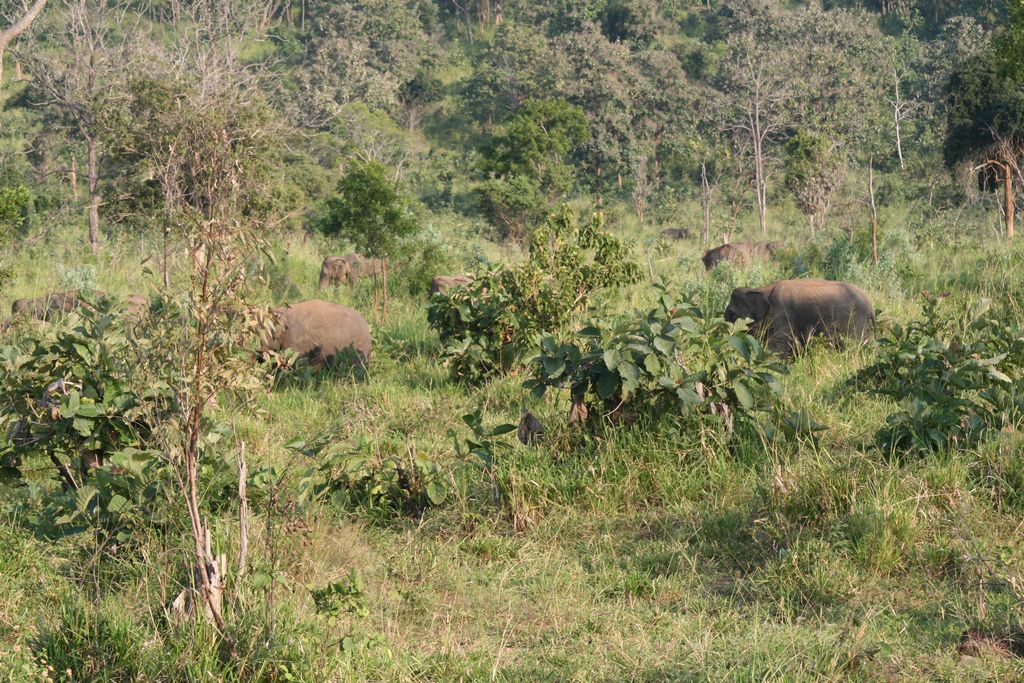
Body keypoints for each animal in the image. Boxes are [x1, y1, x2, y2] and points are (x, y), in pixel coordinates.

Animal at [724, 278, 875, 356]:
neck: (761, 289)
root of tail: (870, 305)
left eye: (732, 314)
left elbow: (779, 348)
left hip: (856, 323)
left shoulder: (781, 314)